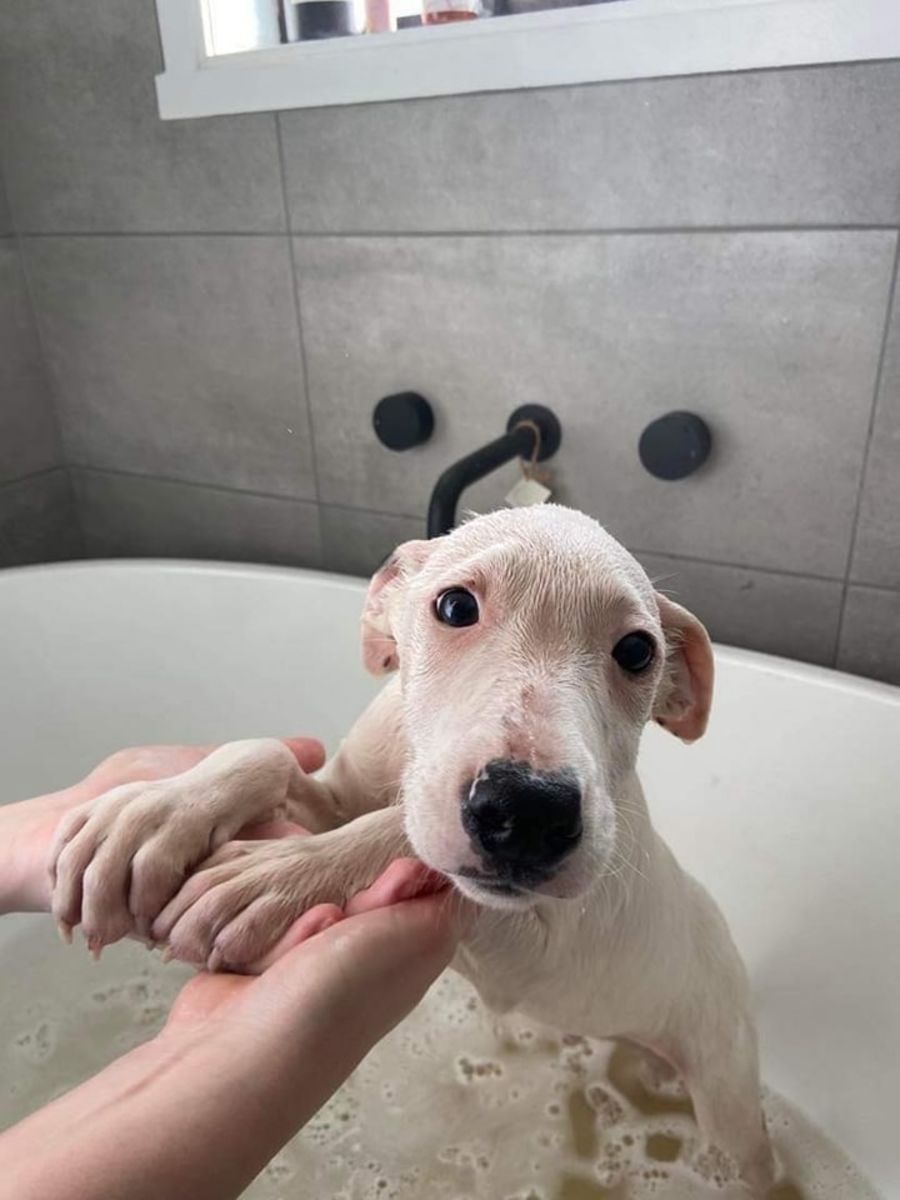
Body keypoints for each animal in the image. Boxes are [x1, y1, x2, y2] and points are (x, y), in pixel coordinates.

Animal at [48, 505, 775, 1194]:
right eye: (455, 607)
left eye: (637, 651)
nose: (529, 811)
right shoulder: (336, 794)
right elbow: (271, 755)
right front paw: (153, 817)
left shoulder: (537, 943)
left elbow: (399, 830)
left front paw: (271, 881)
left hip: (727, 1090)